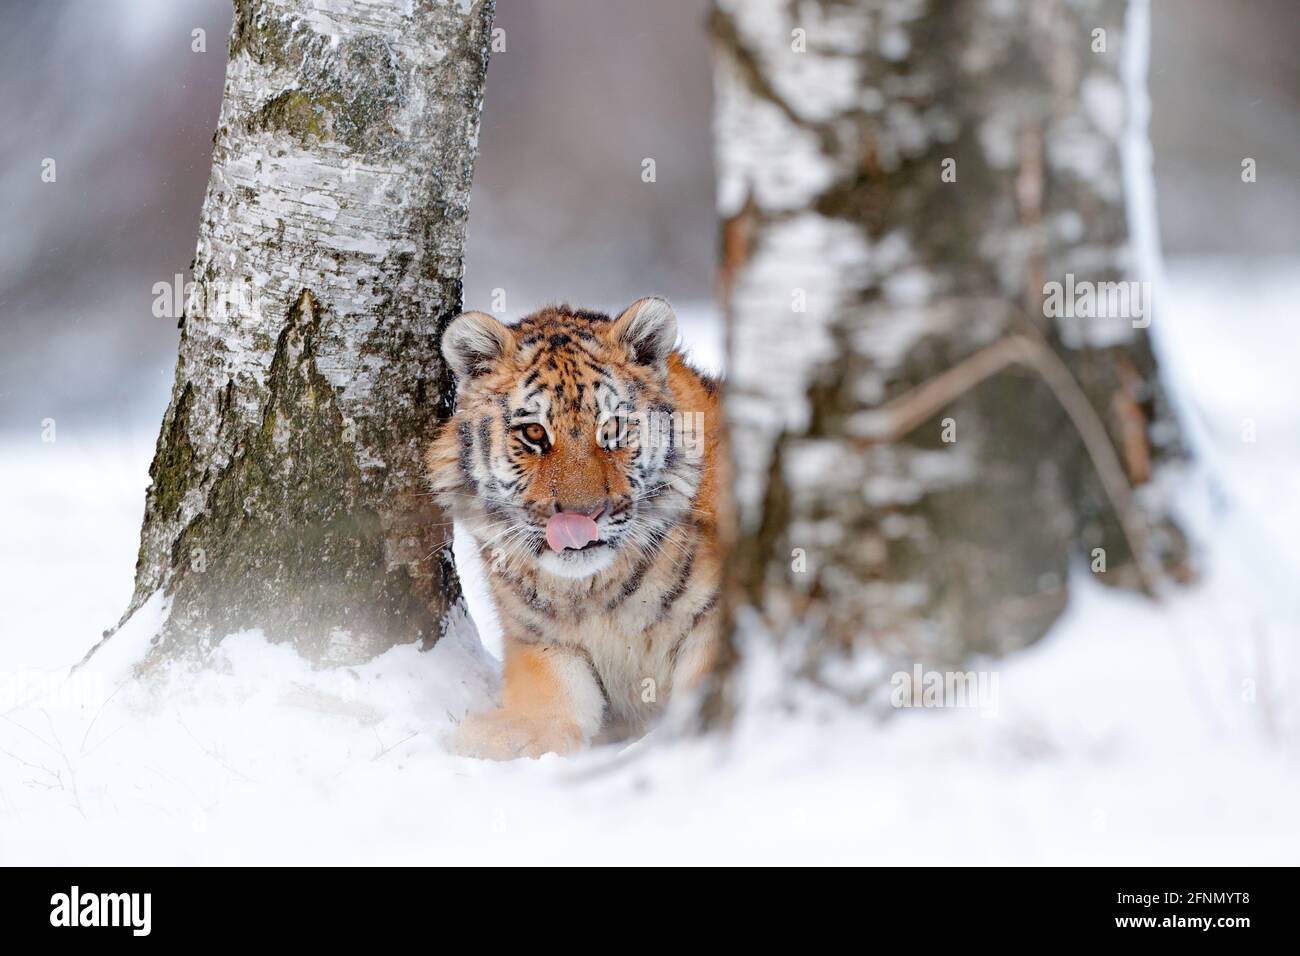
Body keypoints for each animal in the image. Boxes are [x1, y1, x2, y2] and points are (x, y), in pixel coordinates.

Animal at [426, 297, 723, 760]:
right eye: (534, 432)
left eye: (613, 428)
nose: (579, 518)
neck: (597, 595)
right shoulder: (539, 639)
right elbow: (552, 698)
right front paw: (503, 737)